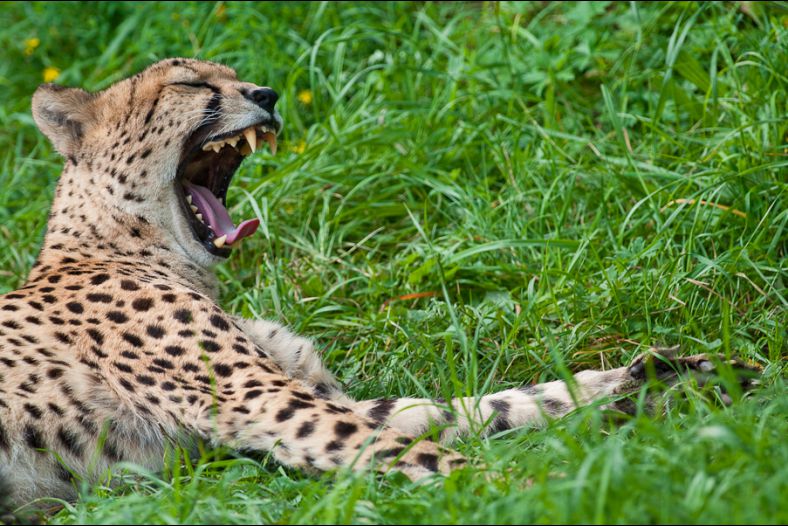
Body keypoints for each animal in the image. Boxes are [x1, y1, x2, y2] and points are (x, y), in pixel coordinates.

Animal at [0, 58, 761, 511]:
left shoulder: (304, 397)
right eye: (188, 85)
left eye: (238, 76)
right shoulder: (259, 401)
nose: (265, 95)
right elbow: (427, 449)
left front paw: (672, 381)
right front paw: (529, 491)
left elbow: (476, 407)